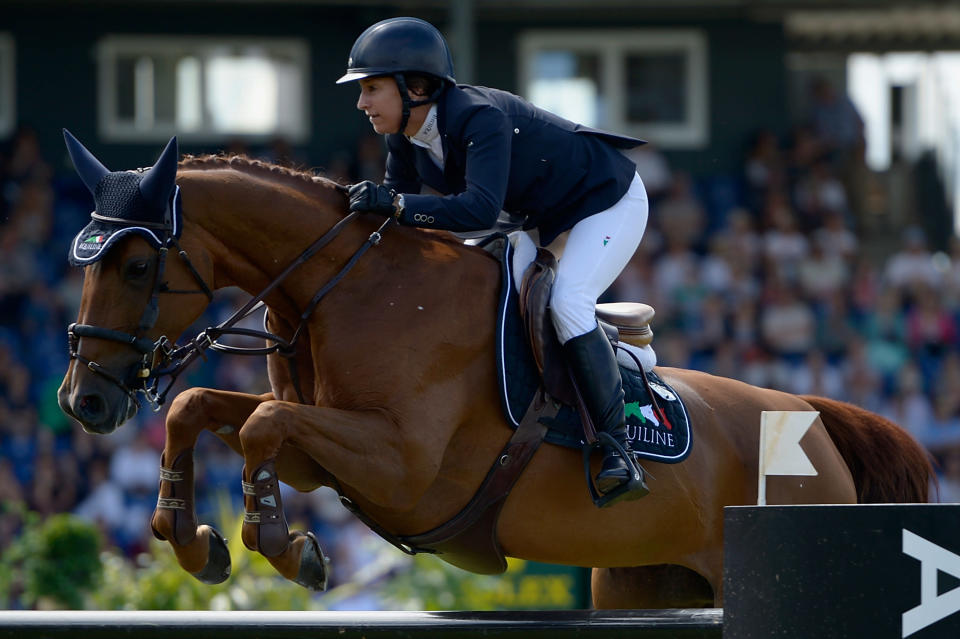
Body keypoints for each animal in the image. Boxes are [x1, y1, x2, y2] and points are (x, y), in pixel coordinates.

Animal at [56, 136, 932, 608]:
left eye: (138, 264)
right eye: (83, 260)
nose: (83, 400)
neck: (347, 287)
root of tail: (815, 418)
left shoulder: (402, 465)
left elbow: (260, 425)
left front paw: (284, 543)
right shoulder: (327, 453)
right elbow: (204, 410)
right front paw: (190, 538)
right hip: (647, 579)